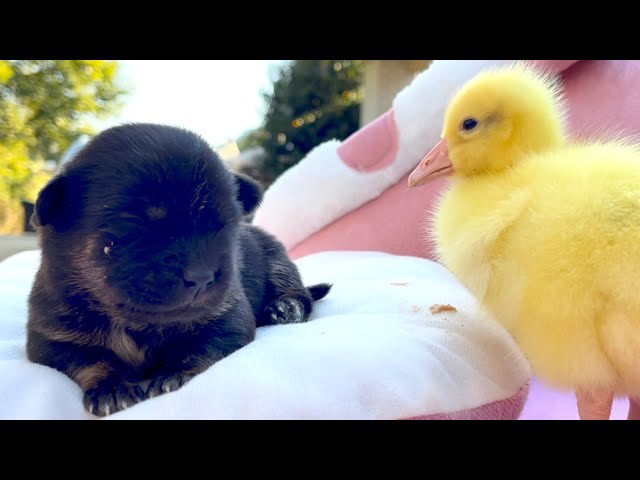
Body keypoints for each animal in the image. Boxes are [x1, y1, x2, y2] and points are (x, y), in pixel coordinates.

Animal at [27, 124, 332, 416]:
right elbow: (93, 360)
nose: (201, 277)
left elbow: (198, 348)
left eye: (224, 229)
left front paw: (175, 374)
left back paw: (285, 308)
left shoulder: (228, 319)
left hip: (276, 260)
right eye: (127, 230)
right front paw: (112, 387)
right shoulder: (52, 341)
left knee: (300, 293)